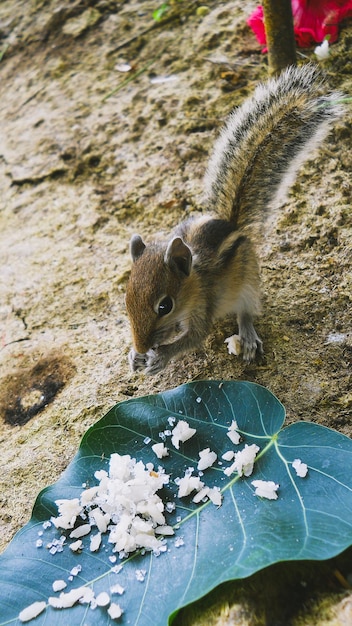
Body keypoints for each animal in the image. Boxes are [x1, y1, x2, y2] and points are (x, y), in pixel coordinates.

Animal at [125, 63, 342, 372]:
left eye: (164, 306)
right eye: (127, 300)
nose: (142, 345)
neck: (194, 280)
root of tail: (233, 224)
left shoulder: (203, 306)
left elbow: (193, 337)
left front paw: (160, 357)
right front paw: (136, 355)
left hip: (248, 283)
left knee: (247, 312)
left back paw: (247, 337)